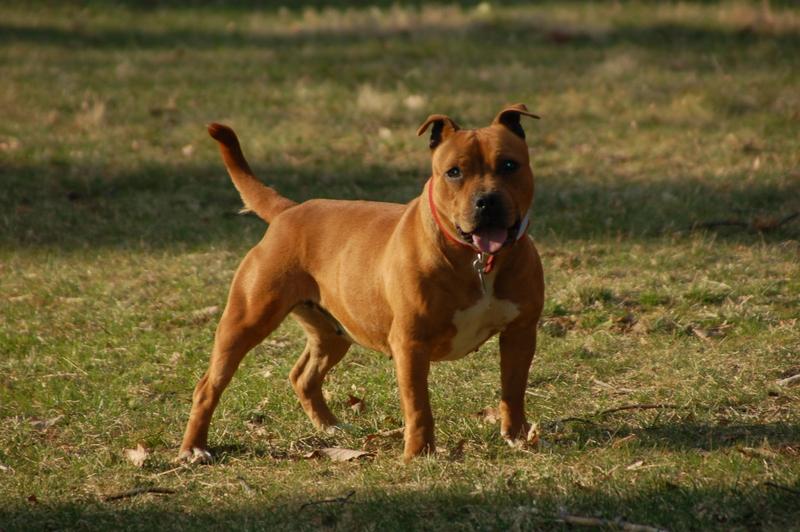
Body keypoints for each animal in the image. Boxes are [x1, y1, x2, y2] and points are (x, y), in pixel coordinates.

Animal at [179, 104, 548, 462]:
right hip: (245, 322)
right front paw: (419, 453)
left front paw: (517, 436)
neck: (478, 260)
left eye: (509, 165)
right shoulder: (410, 344)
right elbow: (418, 406)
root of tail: (289, 211)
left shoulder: (520, 333)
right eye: (454, 172)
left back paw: (331, 428)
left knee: (303, 376)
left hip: (333, 333)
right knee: (208, 386)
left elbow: (513, 389)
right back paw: (193, 448)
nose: (487, 200)